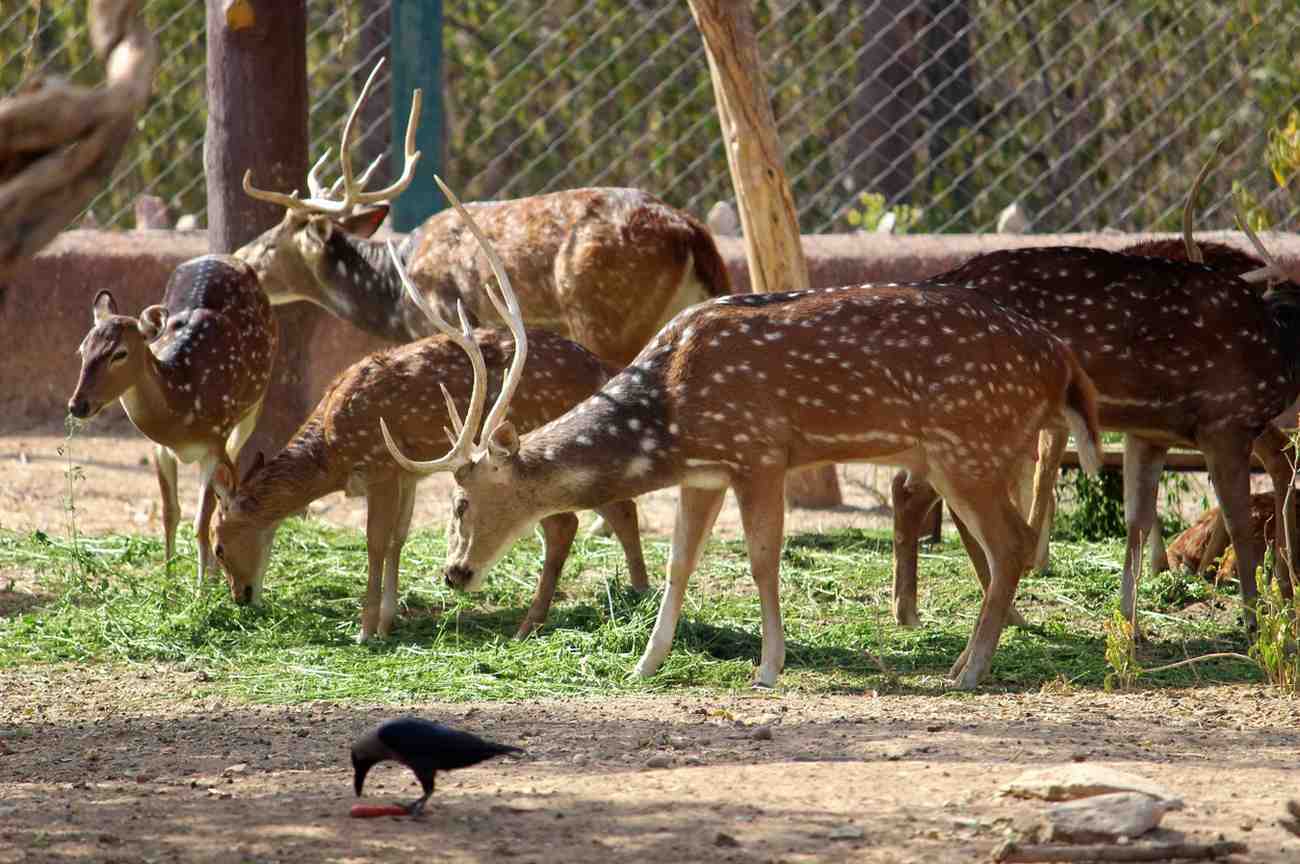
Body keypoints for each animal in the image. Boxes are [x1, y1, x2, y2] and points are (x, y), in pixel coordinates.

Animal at [68, 254, 276, 579]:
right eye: (82, 350)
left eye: (119, 353)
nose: (77, 405)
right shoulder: (159, 448)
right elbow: (170, 513)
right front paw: (167, 578)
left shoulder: (214, 442)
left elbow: (200, 522)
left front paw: (201, 587)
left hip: (252, 409)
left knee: (233, 470)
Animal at [211, 239, 650, 644]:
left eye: (218, 546)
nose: (240, 596)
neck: (331, 453)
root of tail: (599, 368)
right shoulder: (406, 476)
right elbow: (398, 540)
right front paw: (387, 621)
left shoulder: (380, 467)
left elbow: (375, 542)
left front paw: (365, 630)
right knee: (617, 506)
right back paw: (637, 592)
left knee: (569, 521)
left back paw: (545, 619)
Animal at [239, 59, 733, 368]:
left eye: (271, 242)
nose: (240, 257)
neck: (396, 291)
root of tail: (690, 231)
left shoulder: (448, 320)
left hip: (605, 320)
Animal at [379, 175, 1102, 686]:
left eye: (462, 500)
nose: (454, 573)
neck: (669, 415)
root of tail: (1064, 364)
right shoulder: (705, 472)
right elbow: (680, 563)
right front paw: (644, 664)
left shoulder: (758, 451)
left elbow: (761, 558)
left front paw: (768, 667)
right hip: (973, 449)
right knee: (1010, 541)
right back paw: (964, 660)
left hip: (969, 442)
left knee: (1012, 543)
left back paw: (969, 670)